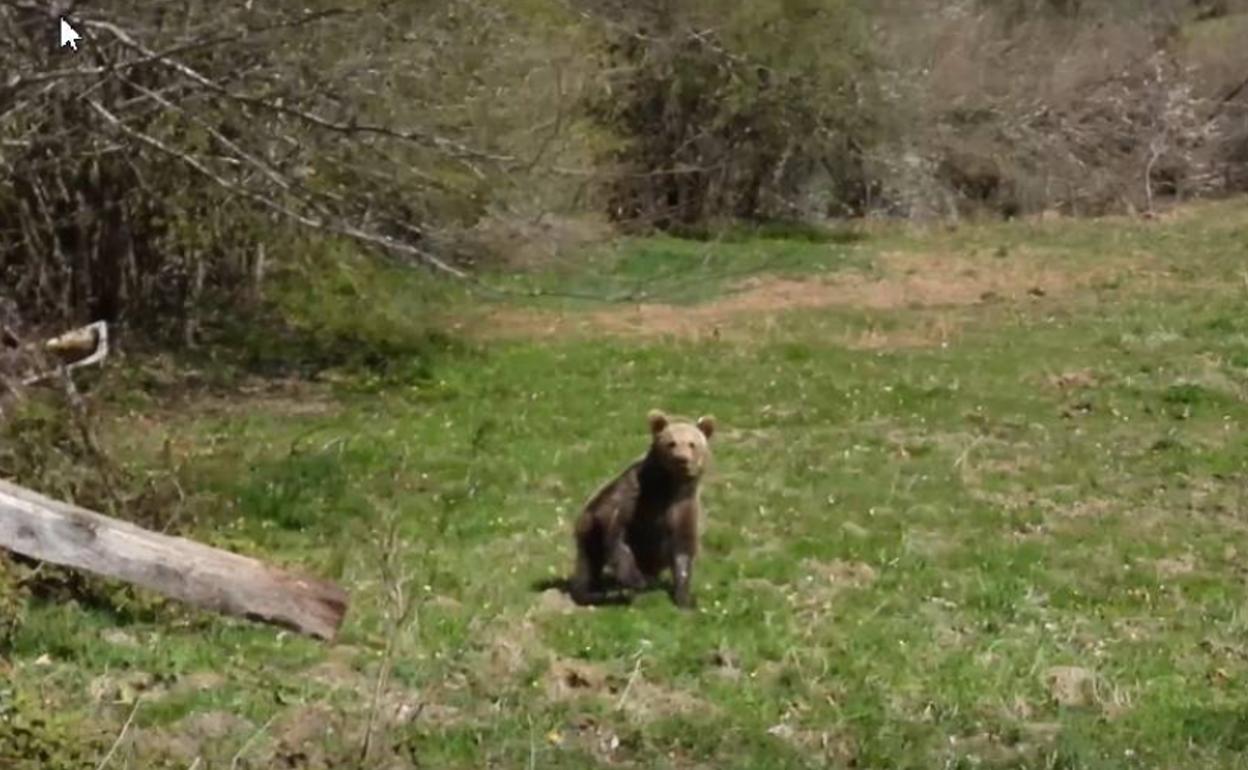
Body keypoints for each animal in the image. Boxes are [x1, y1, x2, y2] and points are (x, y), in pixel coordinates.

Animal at [571, 409, 718, 606]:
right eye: (671, 443)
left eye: (692, 444)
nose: (681, 459)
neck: (668, 486)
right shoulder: (633, 496)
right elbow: (616, 532)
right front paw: (635, 579)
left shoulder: (683, 506)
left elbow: (683, 547)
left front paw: (685, 596)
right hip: (586, 530)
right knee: (588, 563)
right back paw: (593, 591)